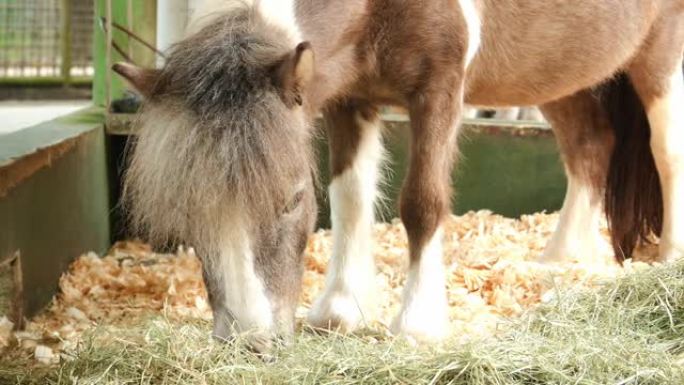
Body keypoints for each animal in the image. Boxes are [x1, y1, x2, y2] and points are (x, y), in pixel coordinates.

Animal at [113, 0, 684, 348]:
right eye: (190, 211)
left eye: (291, 199)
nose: (252, 340)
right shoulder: (347, 96)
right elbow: (349, 199)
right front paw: (340, 310)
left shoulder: (439, 88)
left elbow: (422, 202)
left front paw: (418, 324)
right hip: (556, 71)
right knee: (591, 146)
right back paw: (560, 258)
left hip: (661, 54)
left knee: (666, 150)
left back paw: (669, 259)